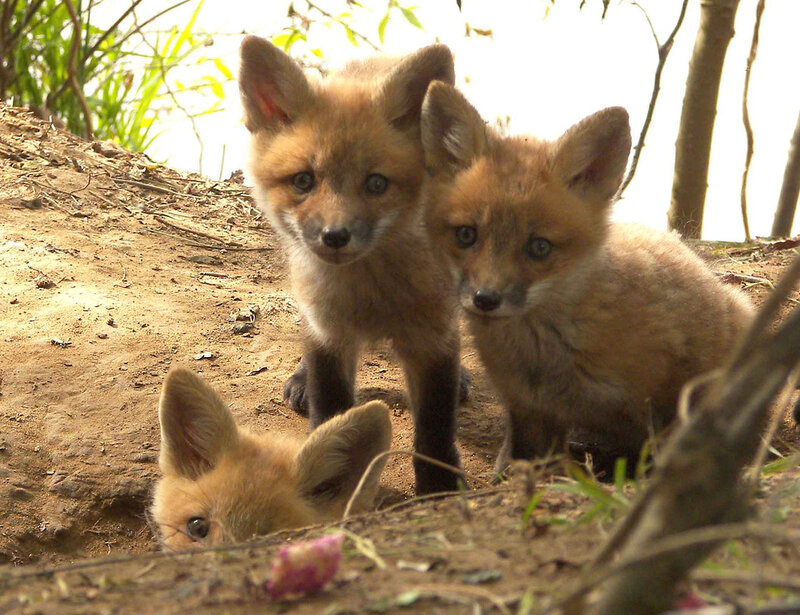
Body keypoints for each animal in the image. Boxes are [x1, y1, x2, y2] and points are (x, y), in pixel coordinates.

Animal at [238, 37, 468, 494]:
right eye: (303, 181)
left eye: (376, 183)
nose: (335, 236)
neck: (371, 295)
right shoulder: (329, 333)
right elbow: (330, 410)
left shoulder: (433, 339)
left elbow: (434, 428)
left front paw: (439, 489)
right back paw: (300, 380)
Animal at [420, 81, 755, 475]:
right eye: (466, 235)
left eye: (539, 247)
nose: (485, 299)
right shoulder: (527, 408)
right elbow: (521, 460)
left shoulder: (661, 398)